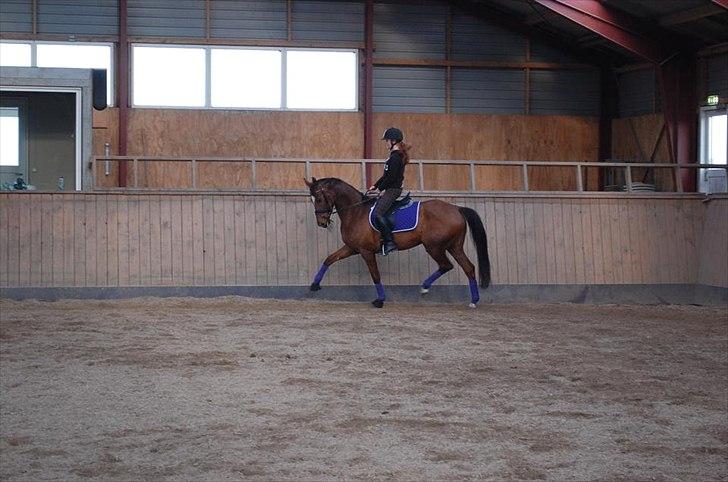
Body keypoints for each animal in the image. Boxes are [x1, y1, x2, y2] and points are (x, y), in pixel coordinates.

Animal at [305, 177, 491, 308]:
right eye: (312, 200)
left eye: (319, 198)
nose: (321, 222)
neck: (356, 211)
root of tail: (457, 209)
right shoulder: (352, 248)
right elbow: (329, 259)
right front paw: (314, 285)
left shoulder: (366, 251)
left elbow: (375, 274)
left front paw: (380, 300)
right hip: (454, 246)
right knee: (468, 268)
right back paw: (474, 300)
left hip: (434, 247)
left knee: (446, 265)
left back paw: (424, 287)